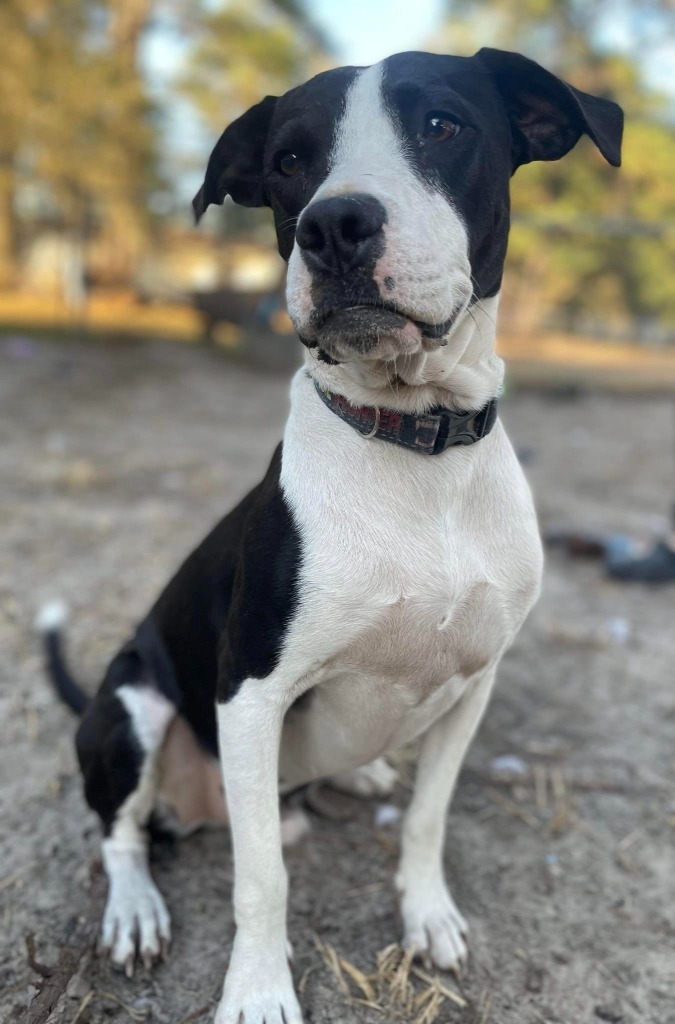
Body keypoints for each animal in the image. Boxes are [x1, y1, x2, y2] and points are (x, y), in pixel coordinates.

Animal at [38, 48, 622, 1024]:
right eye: (286, 161)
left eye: (442, 126)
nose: (335, 224)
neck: (416, 447)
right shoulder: (249, 695)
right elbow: (262, 875)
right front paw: (257, 990)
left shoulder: (473, 685)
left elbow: (427, 817)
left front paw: (427, 915)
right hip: (131, 709)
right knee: (121, 833)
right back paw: (135, 910)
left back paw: (361, 772)